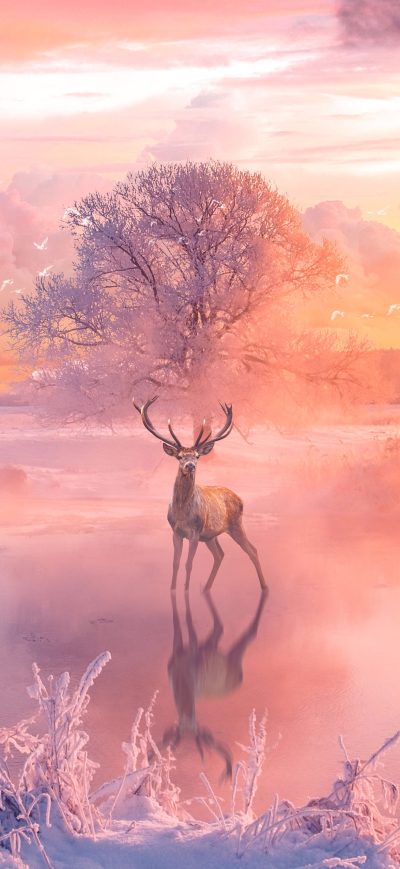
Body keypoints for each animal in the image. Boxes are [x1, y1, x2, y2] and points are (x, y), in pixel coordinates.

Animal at [133, 396, 266, 592]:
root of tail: (240, 498)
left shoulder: (195, 532)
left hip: (235, 524)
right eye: (180, 456)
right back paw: (206, 588)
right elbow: (175, 563)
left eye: (197, 456)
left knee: (253, 550)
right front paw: (172, 589)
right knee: (220, 554)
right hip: (210, 536)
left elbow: (189, 564)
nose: (190, 466)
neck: (182, 513)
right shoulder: (176, 531)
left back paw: (264, 586)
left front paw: (186, 591)